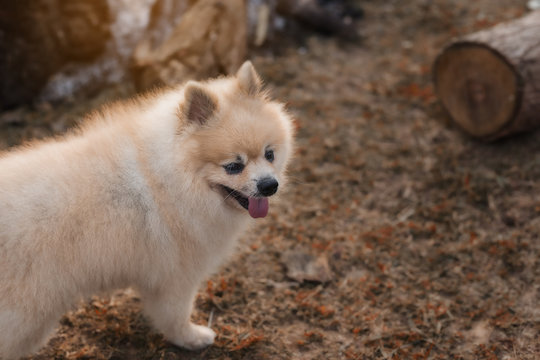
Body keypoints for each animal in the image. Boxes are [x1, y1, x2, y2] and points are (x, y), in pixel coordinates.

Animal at [0, 60, 294, 358]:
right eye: (233, 166)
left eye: (269, 154)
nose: (270, 185)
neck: (165, 175)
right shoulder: (177, 276)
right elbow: (175, 317)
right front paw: (191, 338)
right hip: (26, 313)